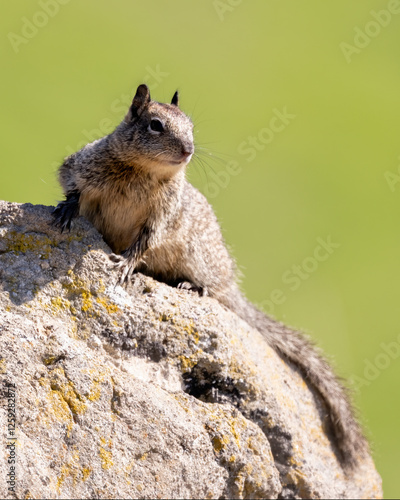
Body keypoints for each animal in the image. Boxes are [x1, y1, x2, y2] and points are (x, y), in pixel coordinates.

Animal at [53, 83, 368, 468]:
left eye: (191, 126)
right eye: (155, 125)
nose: (188, 150)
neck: (143, 170)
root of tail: (231, 284)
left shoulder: (162, 216)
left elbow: (146, 241)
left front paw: (126, 264)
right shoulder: (82, 164)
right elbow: (70, 183)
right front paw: (67, 208)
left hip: (198, 258)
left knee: (212, 289)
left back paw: (192, 286)